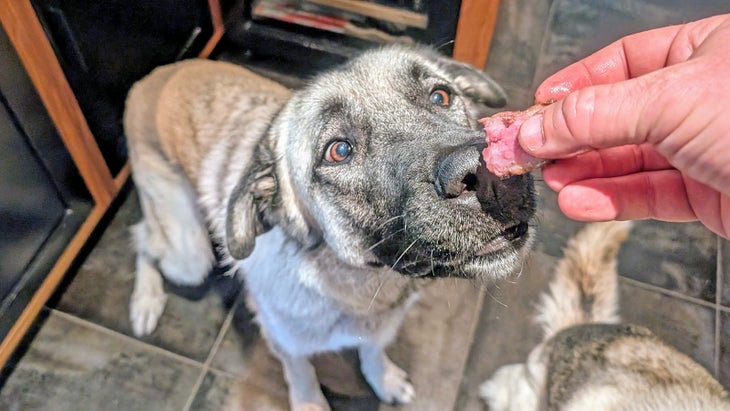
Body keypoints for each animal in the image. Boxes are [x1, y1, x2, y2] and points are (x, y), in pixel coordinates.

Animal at [123, 43, 536, 410]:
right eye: (339, 151)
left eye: (440, 96)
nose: (489, 177)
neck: (357, 282)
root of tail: (152, 77)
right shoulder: (284, 341)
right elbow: (301, 371)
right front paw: (309, 402)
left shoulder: (379, 324)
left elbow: (373, 348)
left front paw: (382, 377)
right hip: (189, 255)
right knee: (142, 237)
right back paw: (145, 302)